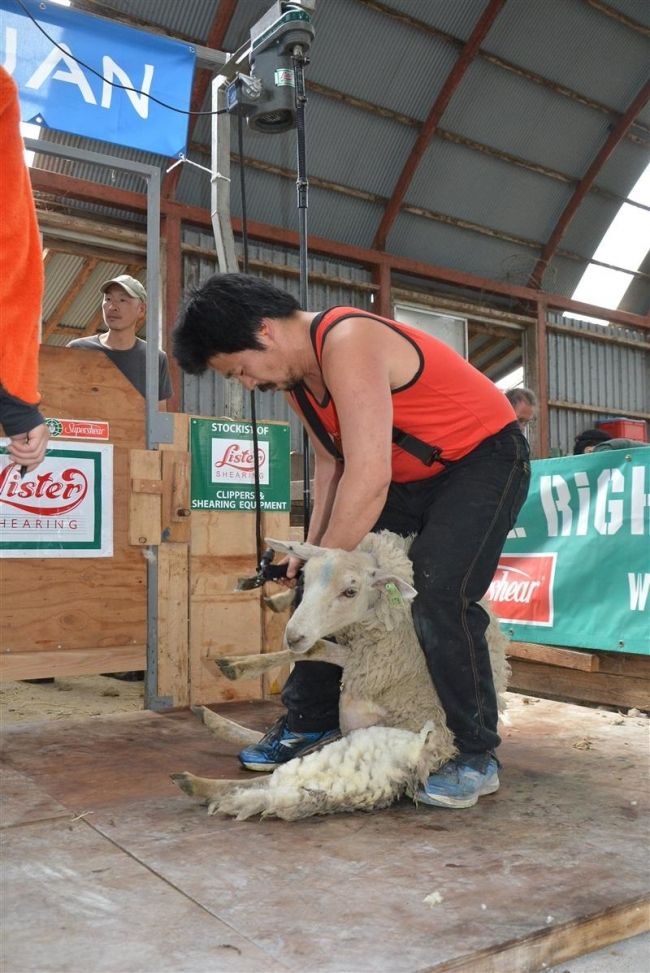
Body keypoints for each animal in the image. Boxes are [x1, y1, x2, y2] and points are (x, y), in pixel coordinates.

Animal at [171, 532, 506, 820]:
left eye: (350, 591)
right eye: (304, 579)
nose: (292, 635)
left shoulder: (367, 661)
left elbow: (317, 647)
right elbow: (313, 648)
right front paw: (239, 664)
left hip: (361, 750)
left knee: (282, 784)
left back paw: (198, 782)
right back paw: (222, 728)